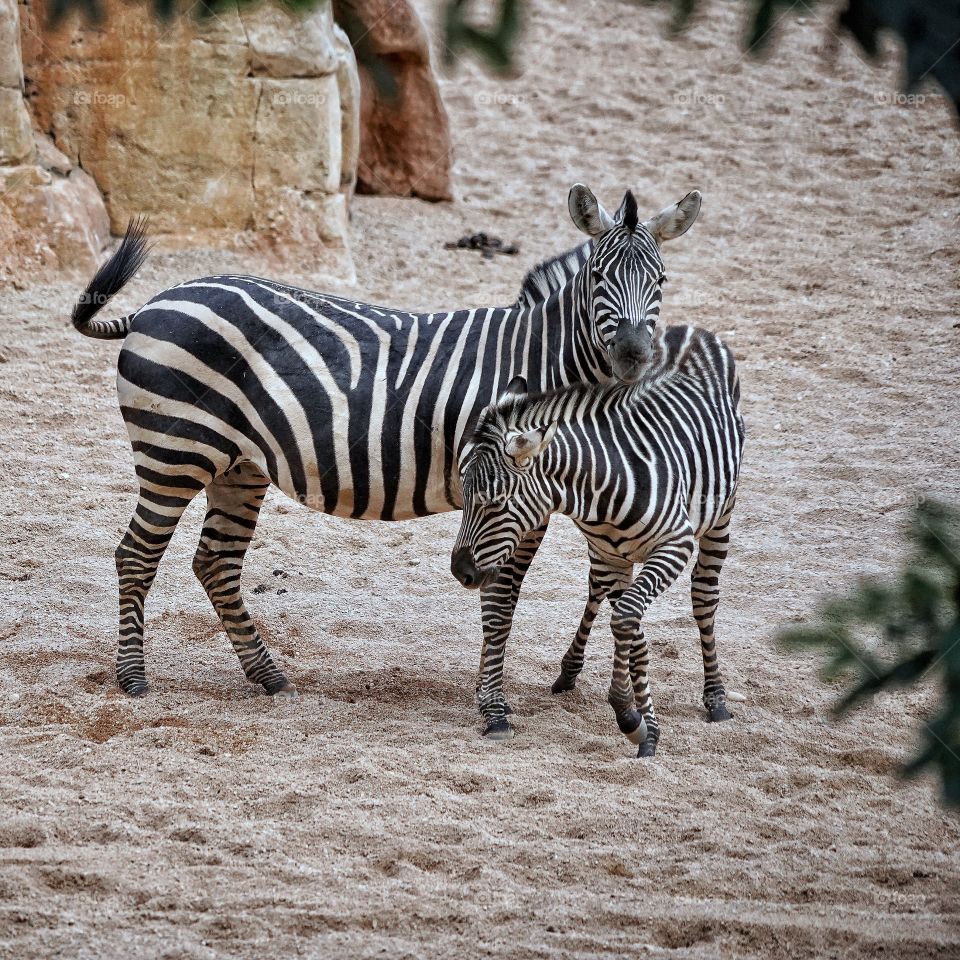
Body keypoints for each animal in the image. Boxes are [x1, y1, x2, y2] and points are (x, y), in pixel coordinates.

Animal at [70, 183, 701, 715]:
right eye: (598, 276)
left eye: (663, 281)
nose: (633, 356)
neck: (544, 360)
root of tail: (156, 302)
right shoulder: (514, 493)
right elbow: (504, 593)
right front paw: (495, 698)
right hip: (173, 451)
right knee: (136, 556)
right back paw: (133, 678)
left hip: (238, 465)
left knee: (215, 562)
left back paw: (268, 676)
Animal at [450, 324, 745, 756]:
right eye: (466, 497)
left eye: (495, 503)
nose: (461, 571)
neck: (605, 485)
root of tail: (688, 329)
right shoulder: (609, 555)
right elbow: (631, 629)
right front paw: (640, 721)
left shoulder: (676, 544)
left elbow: (626, 620)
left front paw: (634, 718)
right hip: (610, 556)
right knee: (598, 592)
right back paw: (570, 671)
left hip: (721, 516)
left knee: (704, 599)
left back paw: (716, 698)